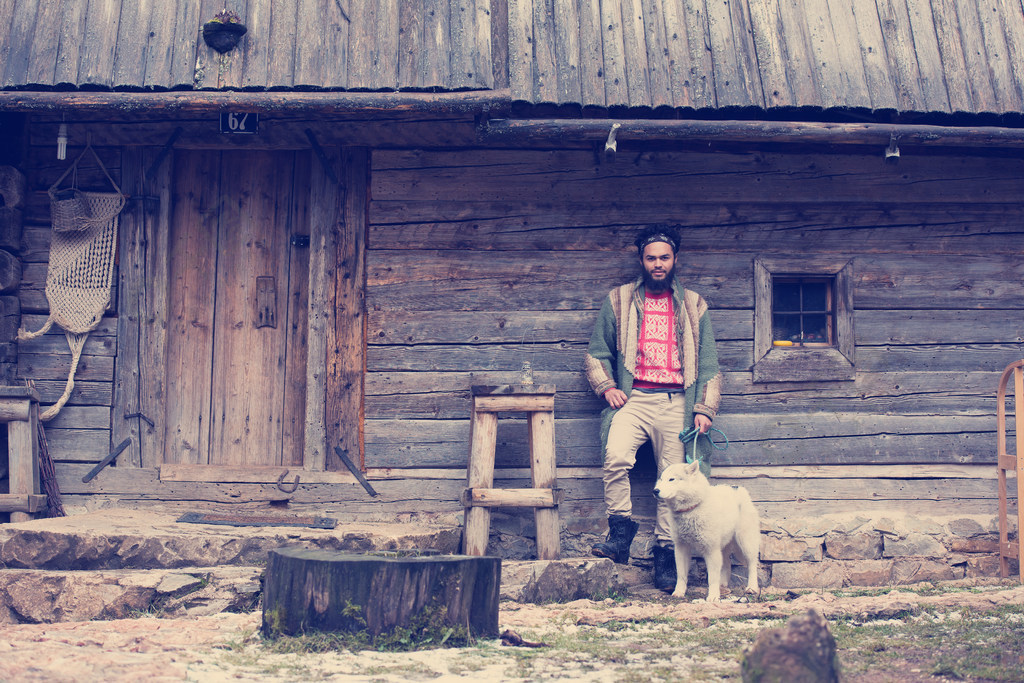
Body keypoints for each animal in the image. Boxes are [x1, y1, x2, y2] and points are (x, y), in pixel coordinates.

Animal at [655, 462, 761, 602]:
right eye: (661, 479)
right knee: (727, 564)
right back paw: (723, 586)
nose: (655, 491)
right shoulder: (681, 548)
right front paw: (679, 592)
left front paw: (713, 596)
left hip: (745, 543)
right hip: (723, 547)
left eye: (671, 479)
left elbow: (712, 578)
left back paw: (752, 588)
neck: (691, 509)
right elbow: (681, 575)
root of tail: (738, 488)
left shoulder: (711, 550)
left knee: (752, 565)